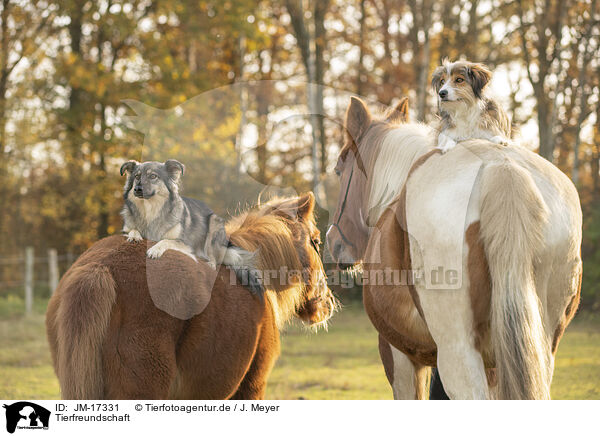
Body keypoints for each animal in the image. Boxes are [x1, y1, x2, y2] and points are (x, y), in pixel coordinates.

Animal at [326, 97, 584, 400]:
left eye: (339, 170)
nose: (333, 241)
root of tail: (501, 168)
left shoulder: (398, 353)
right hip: (539, 349)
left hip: (456, 352)